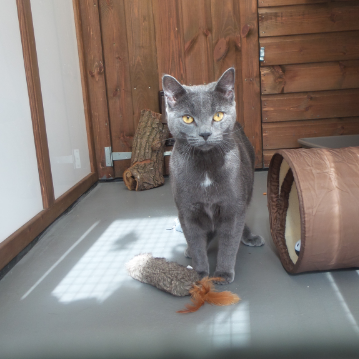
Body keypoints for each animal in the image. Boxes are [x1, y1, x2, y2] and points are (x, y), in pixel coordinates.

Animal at [163, 68, 264, 284]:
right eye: (188, 118)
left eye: (218, 116)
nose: (205, 133)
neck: (206, 167)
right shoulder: (187, 211)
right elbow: (195, 241)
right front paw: (199, 273)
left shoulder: (232, 208)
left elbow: (229, 244)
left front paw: (223, 274)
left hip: (247, 190)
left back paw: (250, 237)